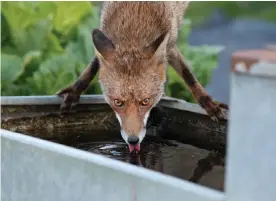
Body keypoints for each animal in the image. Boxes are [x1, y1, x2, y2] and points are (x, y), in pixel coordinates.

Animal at [56, 1, 226, 153]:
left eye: (145, 101)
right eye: (118, 102)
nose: (133, 140)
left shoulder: (170, 43)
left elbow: (187, 74)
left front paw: (210, 105)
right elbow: (94, 64)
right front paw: (73, 93)